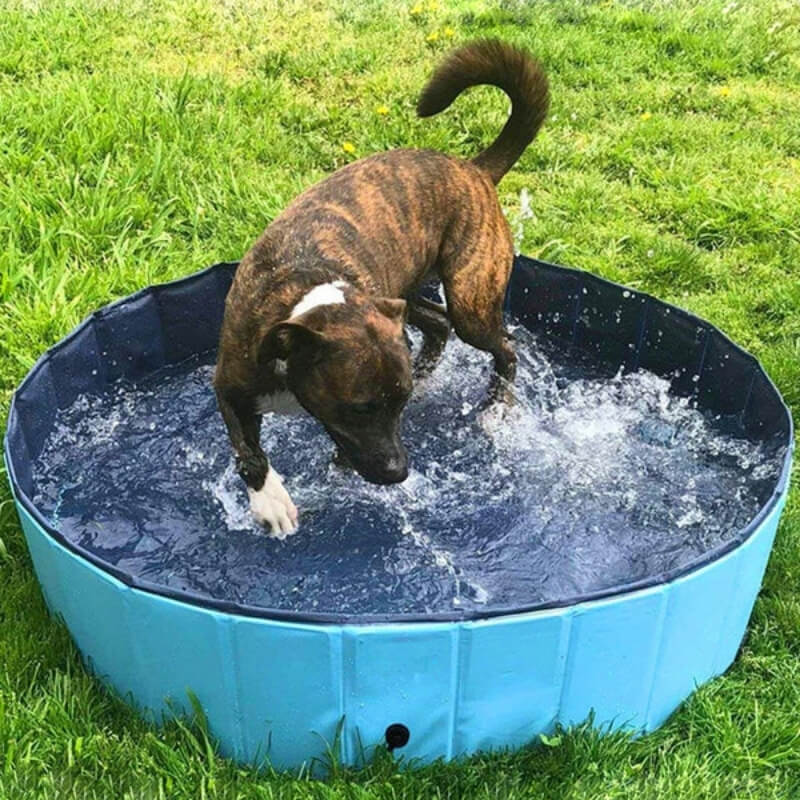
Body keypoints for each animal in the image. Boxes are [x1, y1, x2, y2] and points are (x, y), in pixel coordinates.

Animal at [212, 39, 552, 536]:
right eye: (359, 408)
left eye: (399, 405)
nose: (399, 472)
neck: (305, 303)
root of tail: (472, 169)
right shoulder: (231, 384)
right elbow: (248, 450)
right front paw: (270, 501)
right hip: (405, 294)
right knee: (440, 325)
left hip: (470, 296)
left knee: (503, 345)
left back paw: (496, 408)